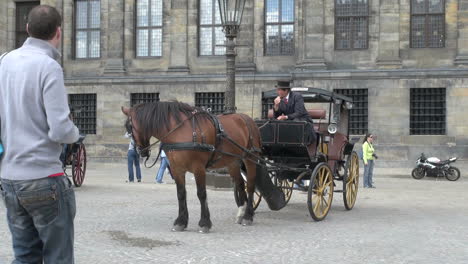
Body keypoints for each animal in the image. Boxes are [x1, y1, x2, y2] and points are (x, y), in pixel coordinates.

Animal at [120, 101, 264, 233]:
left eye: (129, 127)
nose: (140, 151)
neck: (178, 131)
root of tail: (247, 118)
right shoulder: (177, 169)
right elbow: (181, 193)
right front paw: (181, 222)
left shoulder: (198, 168)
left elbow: (201, 193)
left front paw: (205, 223)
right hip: (232, 162)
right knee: (240, 184)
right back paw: (241, 213)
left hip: (250, 158)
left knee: (250, 185)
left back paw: (248, 216)